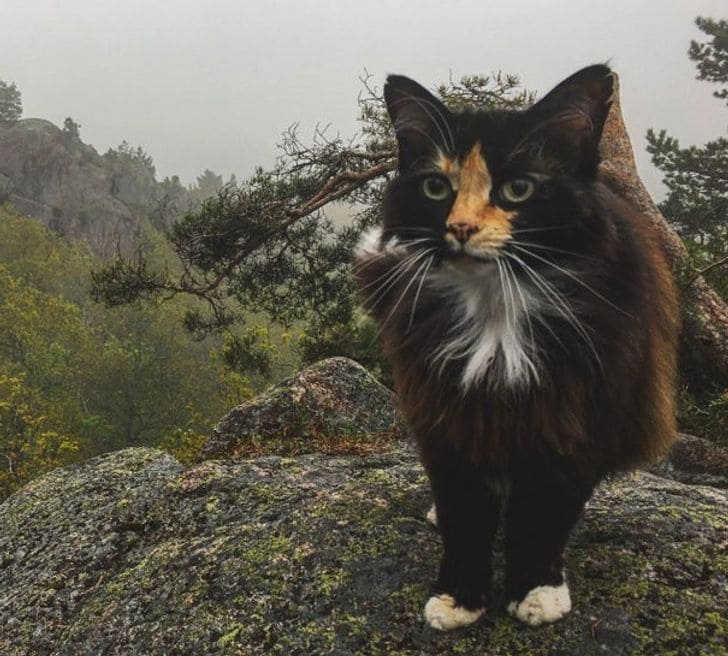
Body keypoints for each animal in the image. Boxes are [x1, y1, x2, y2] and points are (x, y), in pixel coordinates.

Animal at [354, 65, 684, 632]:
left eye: (519, 188)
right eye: (436, 187)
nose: (461, 228)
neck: (496, 311)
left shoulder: (575, 410)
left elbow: (545, 514)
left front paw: (535, 591)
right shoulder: (449, 407)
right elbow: (464, 512)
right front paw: (458, 597)